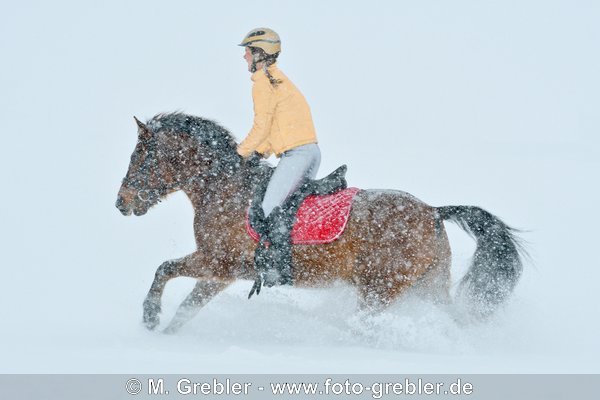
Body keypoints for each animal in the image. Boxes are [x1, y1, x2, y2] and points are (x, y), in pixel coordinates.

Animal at [115, 111, 524, 332]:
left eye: (140, 158)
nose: (121, 203)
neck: (224, 189)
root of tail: (434, 212)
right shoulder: (223, 273)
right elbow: (187, 307)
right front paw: (164, 333)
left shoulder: (219, 262)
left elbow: (164, 269)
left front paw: (150, 317)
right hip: (428, 286)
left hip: (381, 289)